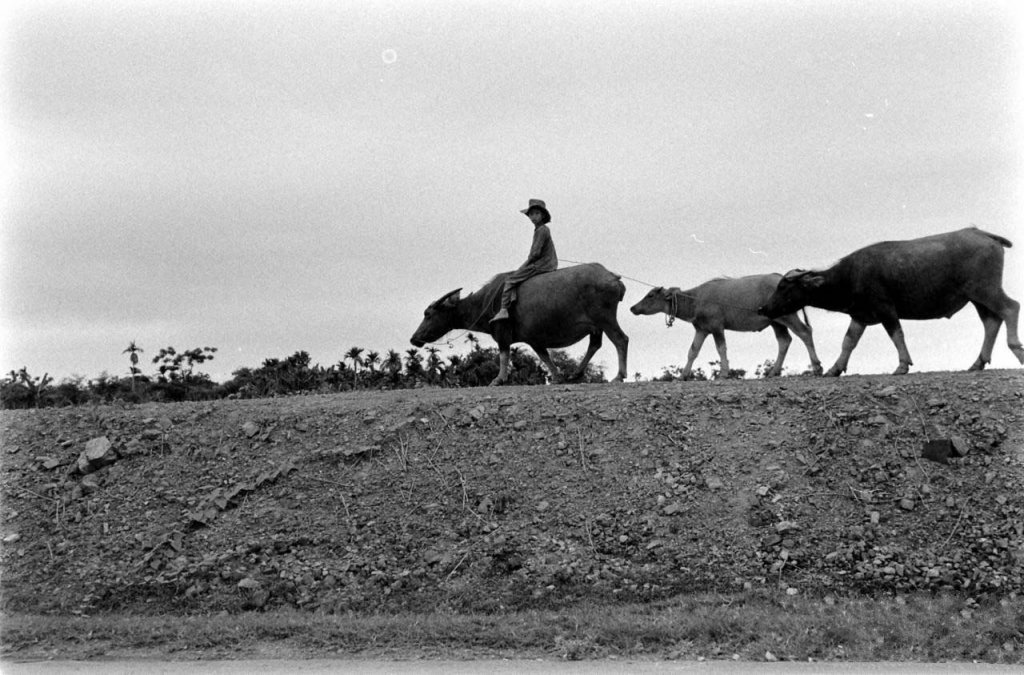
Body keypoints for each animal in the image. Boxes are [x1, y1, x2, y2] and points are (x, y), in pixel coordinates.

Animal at [411, 266, 626, 387]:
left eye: (428, 314)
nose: (414, 339)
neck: (486, 302)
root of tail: (613, 277)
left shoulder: (502, 333)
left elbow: (504, 355)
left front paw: (498, 379)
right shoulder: (535, 339)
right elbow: (545, 357)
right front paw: (558, 377)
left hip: (605, 319)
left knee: (621, 339)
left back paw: (619, 376)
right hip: (596, 325)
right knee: (595, 345)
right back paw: (575, 374)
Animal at [630, 274, 823, 381]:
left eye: (650, 295)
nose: (633, 308)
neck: (696, 299)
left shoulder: (717, 327)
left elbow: (721, 348)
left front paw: (723, 373)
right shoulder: (702, 329)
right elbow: (693, 351)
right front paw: (683, 375)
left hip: (787, 316)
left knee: (805, 332)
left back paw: (817, 367)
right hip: (776, 322)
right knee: (784, 341)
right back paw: (773, 372)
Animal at [757, 227, 1019, 374]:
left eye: (783, 287)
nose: (764, 308)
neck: (851, 276)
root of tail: (983, 234)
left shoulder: (886, 310)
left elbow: (897, 335)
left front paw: (902, 365)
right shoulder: (860, 315)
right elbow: (848, 341)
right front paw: (834, 368)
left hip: (985, 290)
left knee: (1010, 309)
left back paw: (1016, 348)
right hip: (977, 297)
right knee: (992, 322)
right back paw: (978, 362)